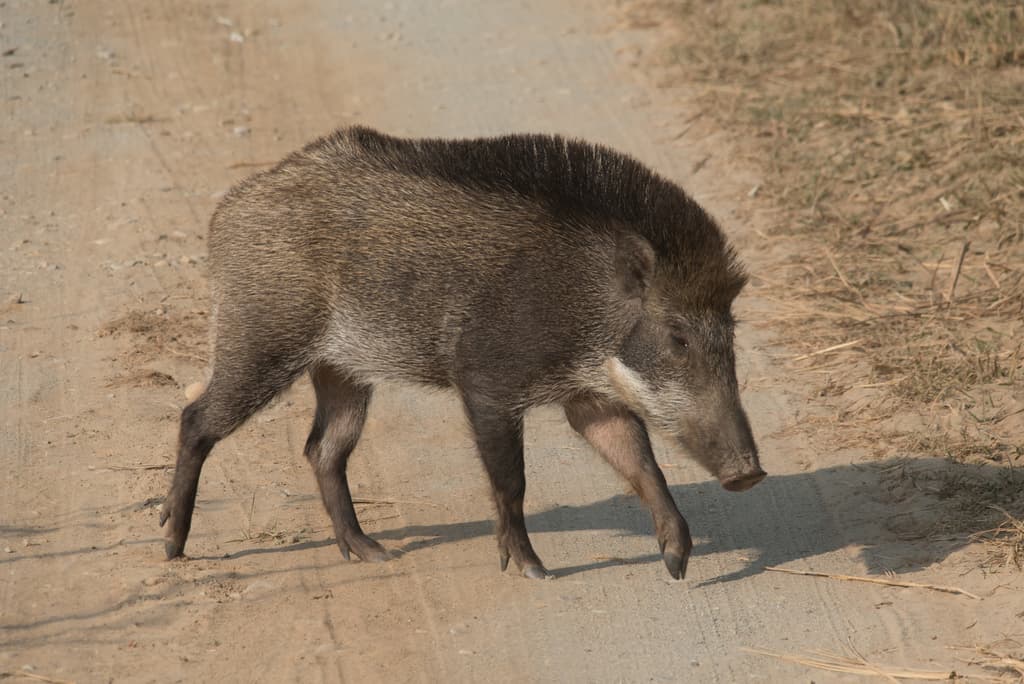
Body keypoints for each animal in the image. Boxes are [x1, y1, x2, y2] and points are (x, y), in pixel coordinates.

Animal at [160, 126, 765, 580]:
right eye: (678, 337)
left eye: (730, 333)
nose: (751, 473)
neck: (585, 302)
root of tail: (229, 209)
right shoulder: (486, 382)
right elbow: (512, 480)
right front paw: (533, 569)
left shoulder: (591, 398)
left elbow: (642, 465)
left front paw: (677, 562)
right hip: (260, 337)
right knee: (197, 419)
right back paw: (172, 544)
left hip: (341, 369)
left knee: (323, 449)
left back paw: (370, 553)